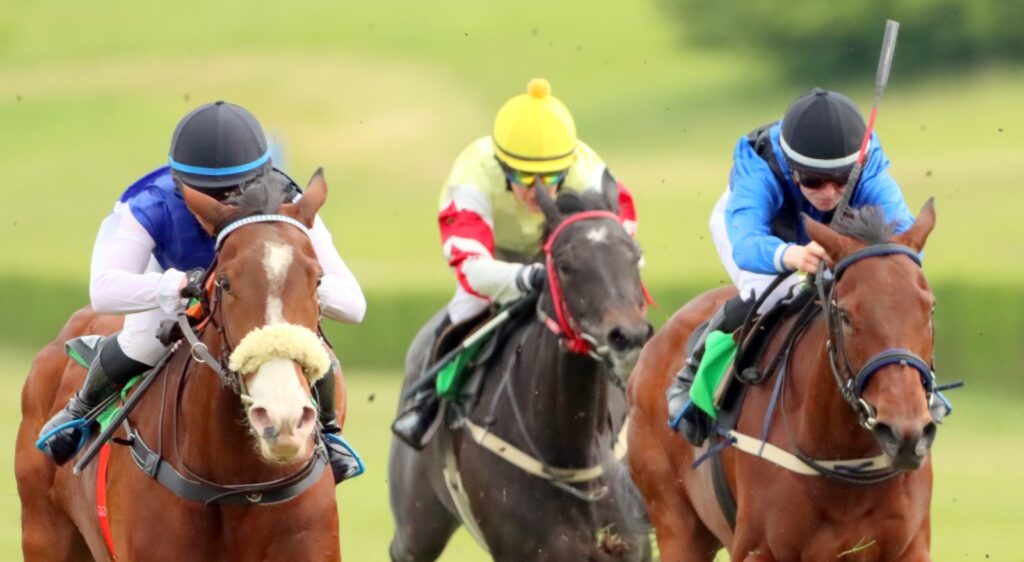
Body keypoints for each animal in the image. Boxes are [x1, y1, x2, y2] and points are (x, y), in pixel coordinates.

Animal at [627, 200, 940, 561]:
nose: (905, 434)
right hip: (676, 525)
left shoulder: (909, 548)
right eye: (845, 315)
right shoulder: (759, 550)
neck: (844, 458)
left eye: (930, 309)